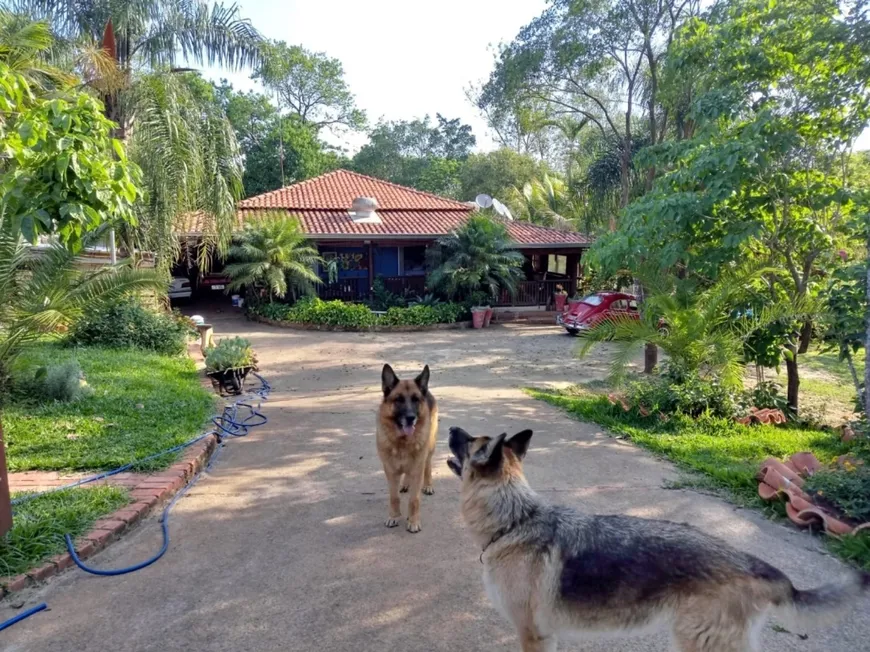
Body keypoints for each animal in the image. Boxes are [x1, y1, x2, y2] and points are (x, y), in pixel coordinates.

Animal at [376, 364, 440, 532]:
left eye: (416, 400)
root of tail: (426, 390)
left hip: (429, 447)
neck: (402, 443)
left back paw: (428, 485)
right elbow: (394, 497)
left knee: (428, 465)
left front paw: (413, 521)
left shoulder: (417, 470)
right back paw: (405, 483)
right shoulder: (390, 472)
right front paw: (393, 517)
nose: (411, 418)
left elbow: (414, 500)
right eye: (398, 399)